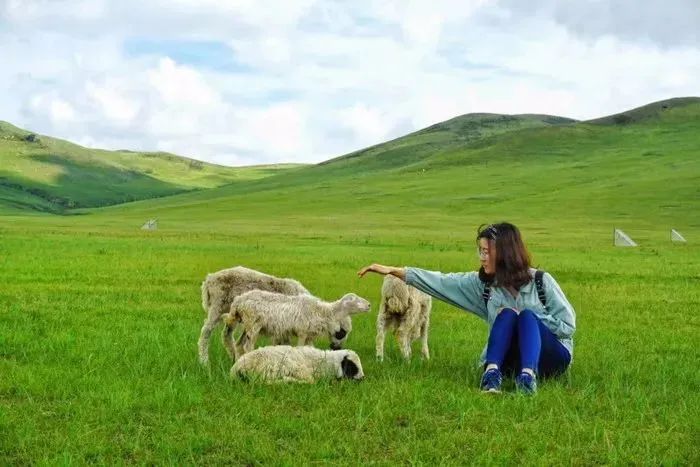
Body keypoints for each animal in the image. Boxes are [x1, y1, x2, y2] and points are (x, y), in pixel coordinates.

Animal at [223, 290, 372, 360]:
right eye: (354, 299)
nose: (369, 305)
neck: (324, 312)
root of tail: (238, 301)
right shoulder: (302, 332)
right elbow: (300, 348)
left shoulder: (310, 335)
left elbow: (311, 349)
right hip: (254, 324)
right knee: (247, 347)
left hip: (246, 325)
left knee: (238, 345)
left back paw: (237, 361)